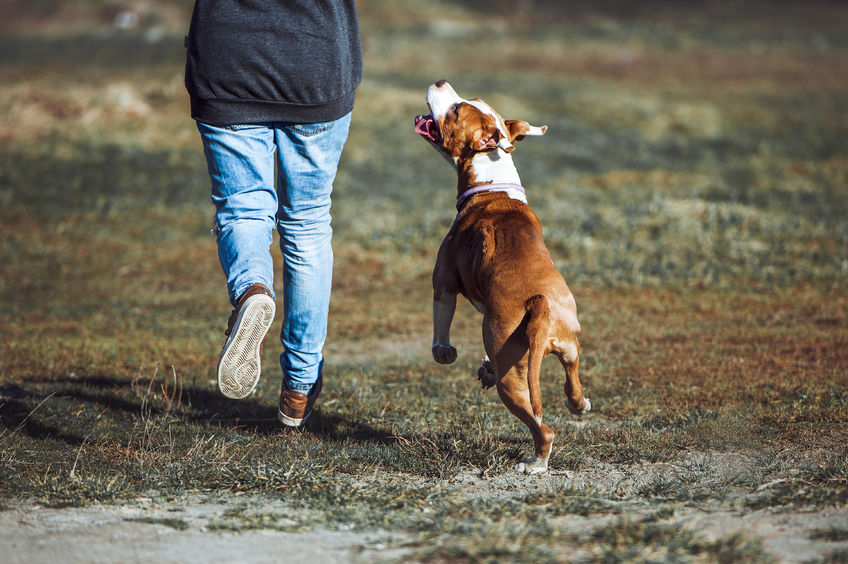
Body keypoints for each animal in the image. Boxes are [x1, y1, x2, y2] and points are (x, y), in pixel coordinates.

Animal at [416, 80, 588, 476]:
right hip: (567, 339)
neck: (492, 181)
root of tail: (540, 304)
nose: (440, 82)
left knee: (542, 426)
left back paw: (535, 462)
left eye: (456, 110)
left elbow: (441, 317)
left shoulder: (444, 280)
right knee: (572, 373)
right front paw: (483, 367)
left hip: (514, 381)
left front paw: (443, 351)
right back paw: (578, 404)